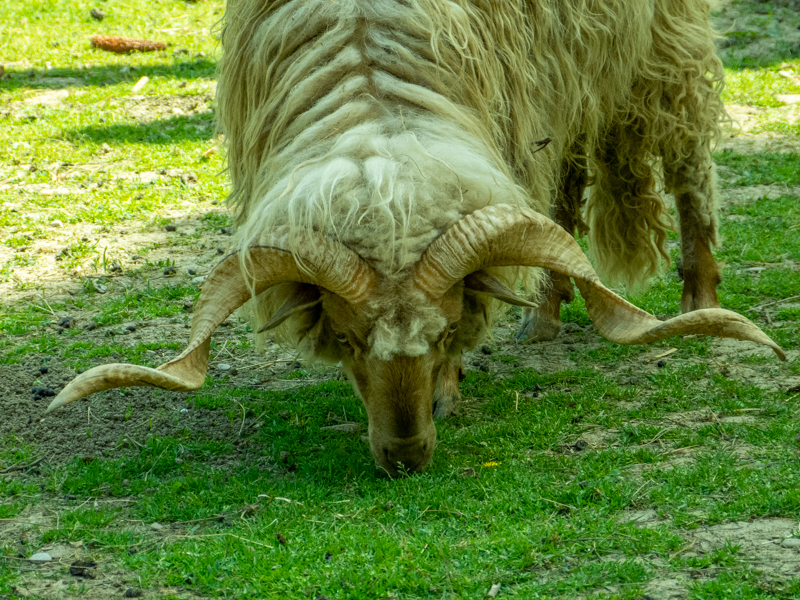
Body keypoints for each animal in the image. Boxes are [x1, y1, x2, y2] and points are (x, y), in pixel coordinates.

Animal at [48, 0, 783, 476]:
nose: (405, 458)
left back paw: (698, 296)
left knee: (688, 166)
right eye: (346, 340)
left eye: (447, 331)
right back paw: (544, 316)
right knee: (565, 181)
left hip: (658, 49)